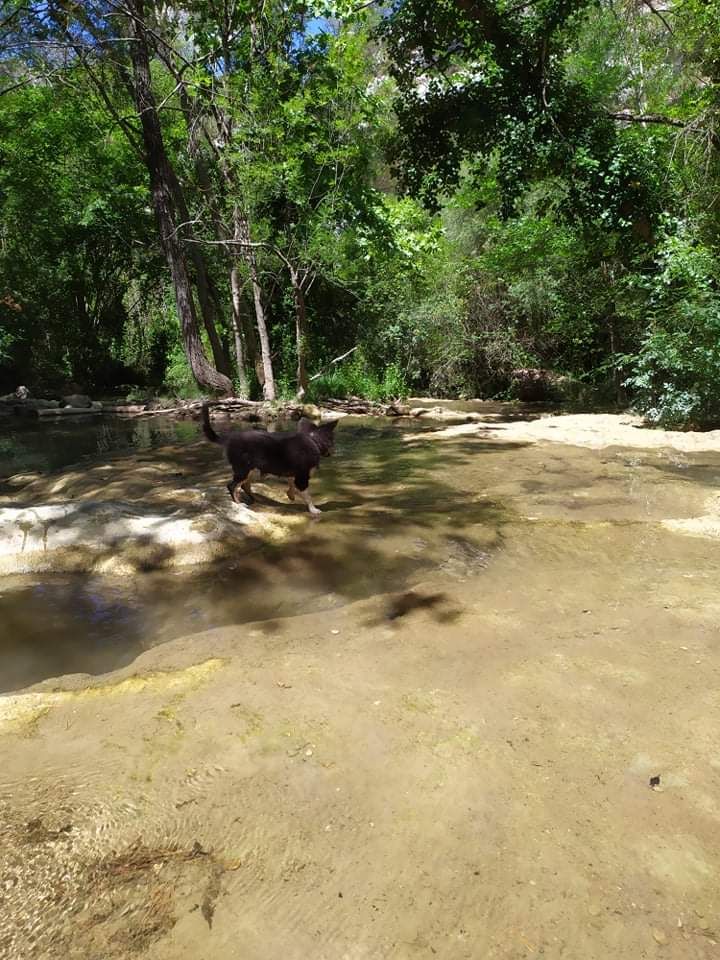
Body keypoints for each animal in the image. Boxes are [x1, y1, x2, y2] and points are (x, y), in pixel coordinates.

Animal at [202, 402, 338, 512]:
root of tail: (229, 439)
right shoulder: (302, 476)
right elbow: (307, 495)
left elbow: (291, 485)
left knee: (244, 486)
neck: (313, 440)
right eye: (332, 440)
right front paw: (313, 509)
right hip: (243, 469)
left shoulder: (292, 474)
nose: (334, 451)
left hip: (252, 470)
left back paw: (255, 499)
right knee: (232, 486)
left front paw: (291, 495)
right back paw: (239, 504)